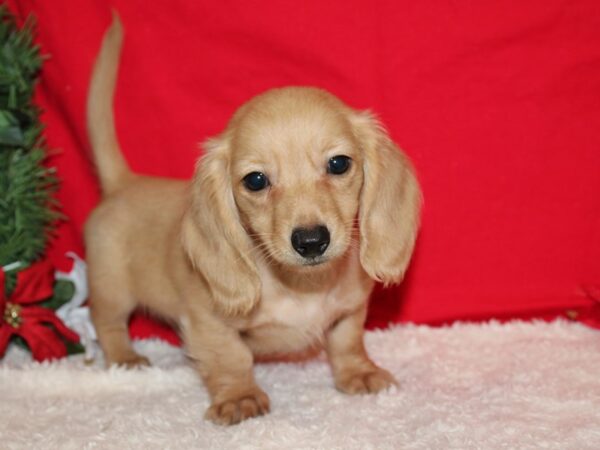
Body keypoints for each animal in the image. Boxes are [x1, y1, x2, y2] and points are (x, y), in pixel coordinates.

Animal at [85, 16, 422, 426]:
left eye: (339, 163)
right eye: (256, 180)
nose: (311, 241)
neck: (299, 286)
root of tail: (124, 182)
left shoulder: (352, 311)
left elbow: (347, 341)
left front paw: (359, 372)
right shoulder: (209, 322)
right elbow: (231, 358)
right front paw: (239, 396)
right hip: (112, 290)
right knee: (107, 324)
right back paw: (125, 358)